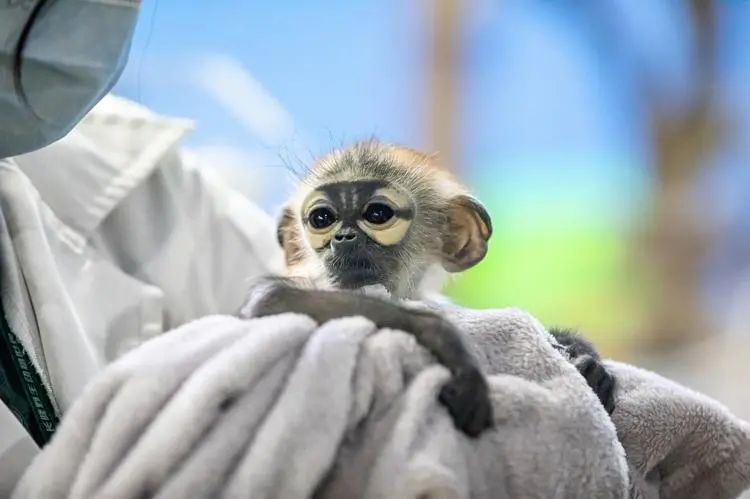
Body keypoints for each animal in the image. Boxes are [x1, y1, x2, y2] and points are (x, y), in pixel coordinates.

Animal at [241, 141, 616, 438]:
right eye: (322, 219)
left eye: (377, 213)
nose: (343, 236)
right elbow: (271, 300)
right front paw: (448, 340)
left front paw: (584, 360)